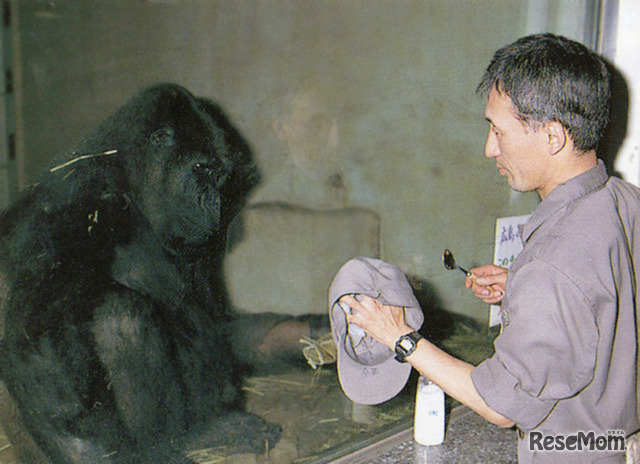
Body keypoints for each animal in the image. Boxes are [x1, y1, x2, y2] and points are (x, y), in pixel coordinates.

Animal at [0, 84, 302, 464]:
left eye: (219, 177)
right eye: (200, 169)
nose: (214, 207)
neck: (129, 180)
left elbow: (218, 318)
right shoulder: (76, 198)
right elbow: (36, 338)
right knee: (121, 316)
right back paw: (168, 444)